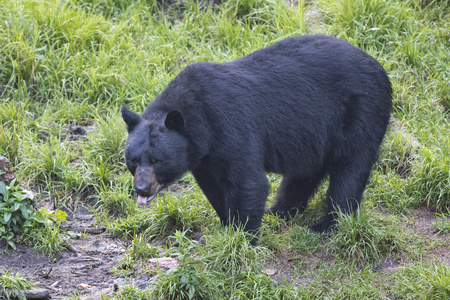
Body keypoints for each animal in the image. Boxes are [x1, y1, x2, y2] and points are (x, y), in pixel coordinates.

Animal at [121, 35, 392, 241]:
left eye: (157, 160)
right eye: (133, 161)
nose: (142, 189)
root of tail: (379, 66)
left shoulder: (231, 126)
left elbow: (248, 182)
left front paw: (243, 239)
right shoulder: (203, 157)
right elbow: (214, 187)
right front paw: (227, 227)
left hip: (362, 112)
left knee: (349, 170)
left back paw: (327, 224)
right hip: (314, 136)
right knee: (305, 172)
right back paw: (279, 210)